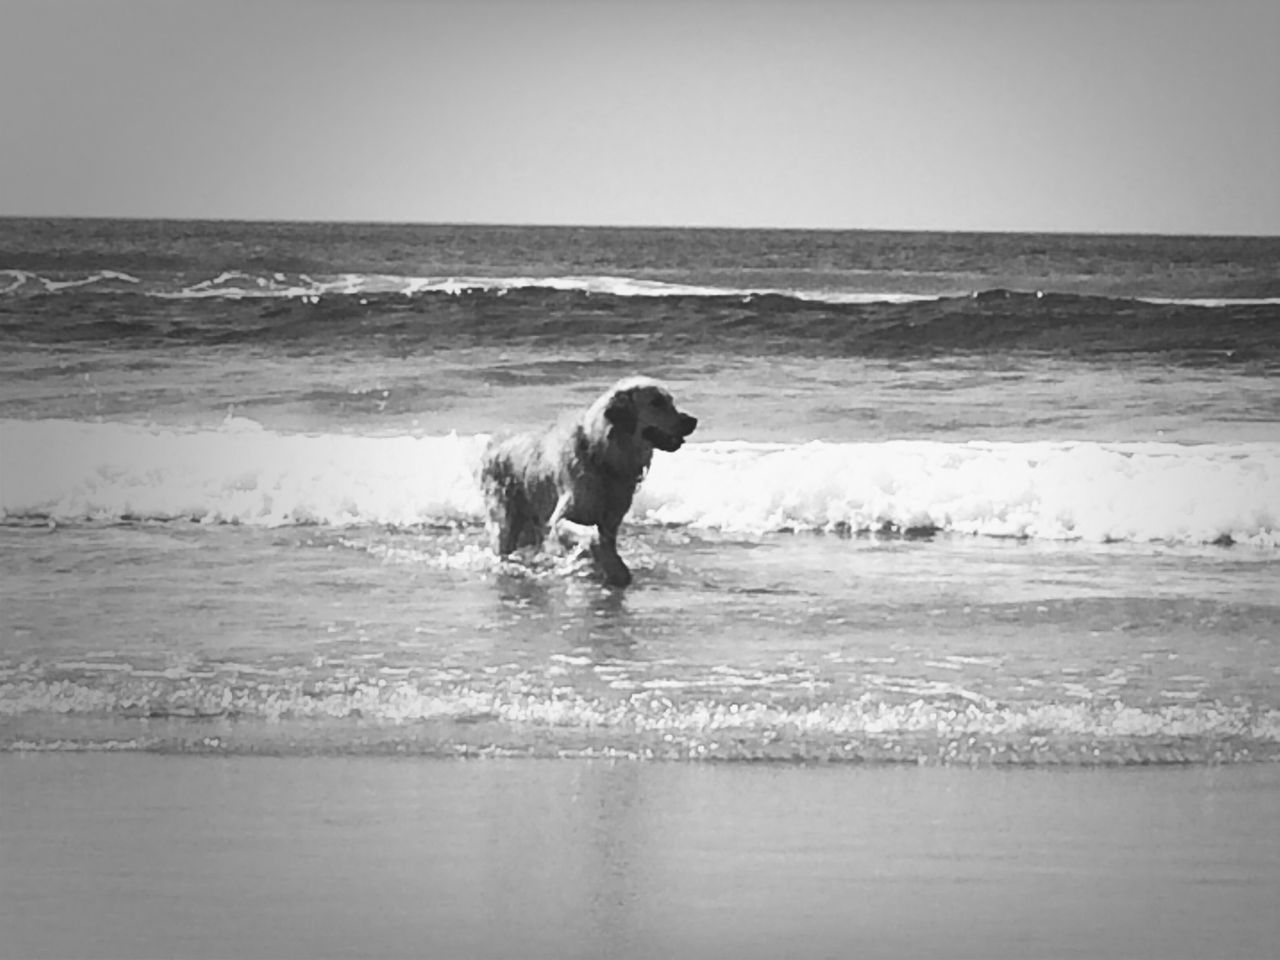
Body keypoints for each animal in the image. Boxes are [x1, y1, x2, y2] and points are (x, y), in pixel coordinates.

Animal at [481, 376, 701, 586]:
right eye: (656, 402)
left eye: (671, 401)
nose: (692, 420)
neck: (602, 457)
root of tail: (494, 443)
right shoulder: (559, 518)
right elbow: (590, 534)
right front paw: (607, 564)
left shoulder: (611, 520)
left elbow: (605, 543)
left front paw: (612, 569)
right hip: (506, 521)